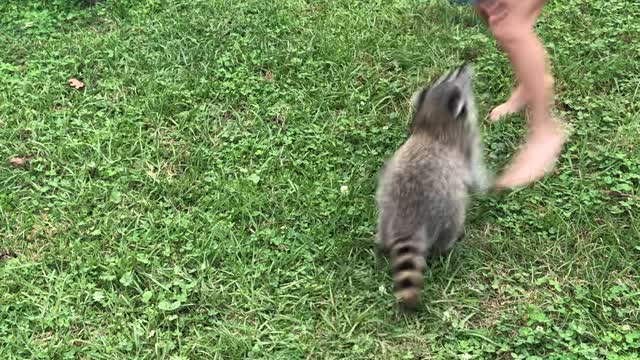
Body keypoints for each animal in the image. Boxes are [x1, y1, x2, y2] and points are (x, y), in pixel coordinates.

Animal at [376, 62, 490, 310]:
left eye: (446, 76)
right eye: (455, 79)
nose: (466, 65)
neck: (433, 122)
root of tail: (407, 221)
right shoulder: (466, 144)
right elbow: (474, 175)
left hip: (385, 205)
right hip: (447, 208)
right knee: (454, 220)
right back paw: (449, 244)